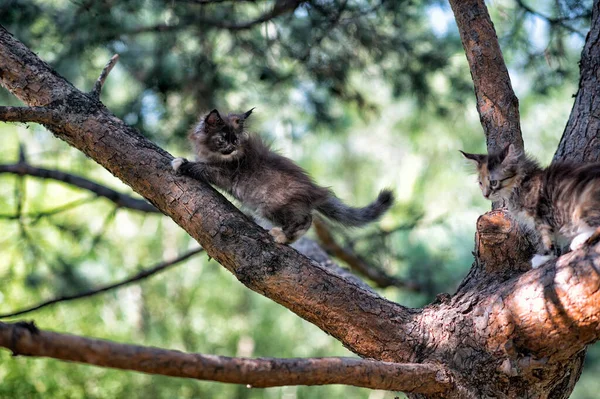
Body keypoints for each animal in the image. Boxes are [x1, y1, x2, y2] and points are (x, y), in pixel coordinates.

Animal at [171, 108, 394, 244]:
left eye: (235, 140)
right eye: (223, 139)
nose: (233, 147)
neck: (214, 155)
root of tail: (315, 191)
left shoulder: (224, 172)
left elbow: (201, 168)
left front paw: (181, 163)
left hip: (270, 204)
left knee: (306, 219)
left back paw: (283, 236)